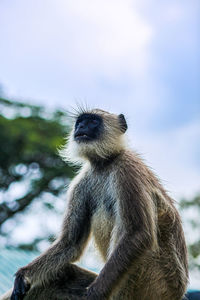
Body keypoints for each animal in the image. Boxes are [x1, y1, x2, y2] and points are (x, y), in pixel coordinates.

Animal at [3, 108, 188, 300]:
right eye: (80, 122)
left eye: (92, 121)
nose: (81, 127)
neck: (104, 164)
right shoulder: (82, 182)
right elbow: (71, 243)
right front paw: (23, 276)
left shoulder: (126, 169)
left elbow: (138, 234)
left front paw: (94, 294)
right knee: (60, 273)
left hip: (156, 281)